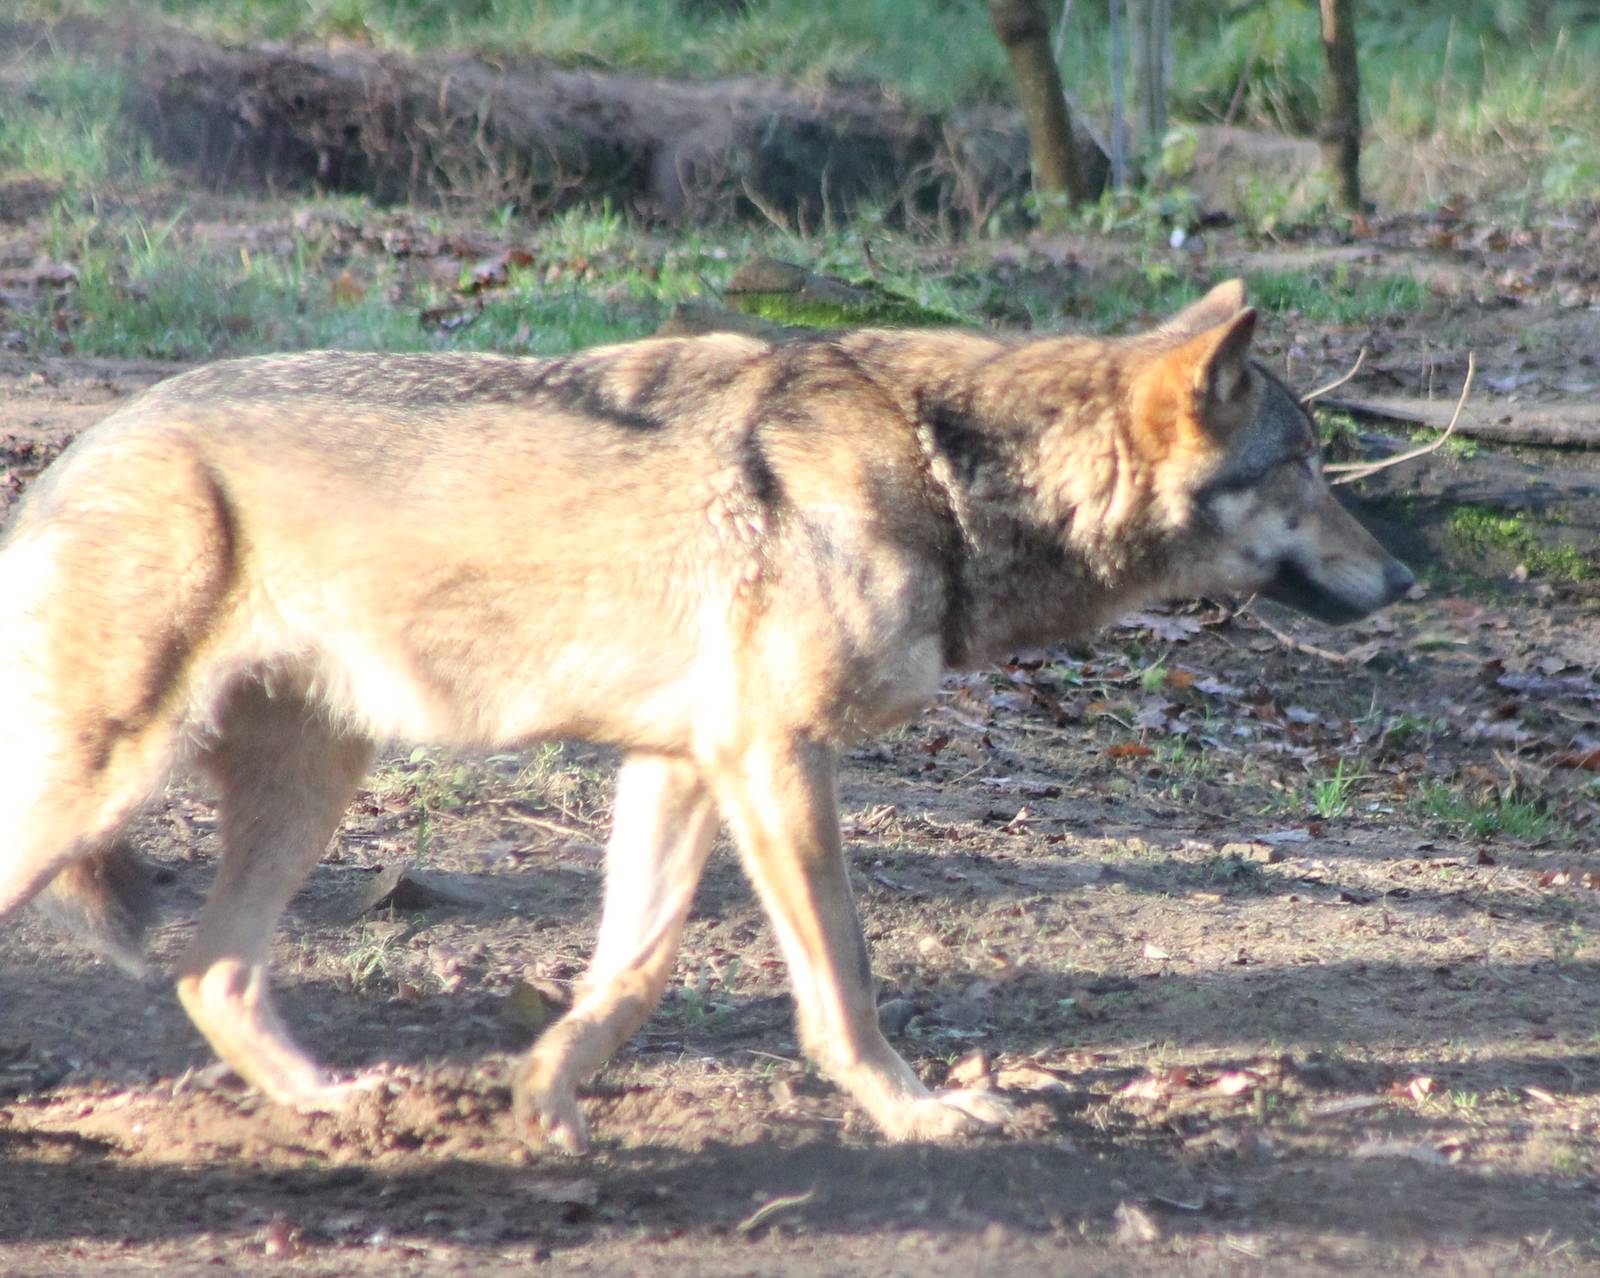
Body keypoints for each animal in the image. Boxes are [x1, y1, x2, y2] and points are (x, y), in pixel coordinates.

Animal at [0, 279, 1411, 1150]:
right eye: (1301, 467)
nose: (1407, 581)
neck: (937, 474)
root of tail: (81, 449)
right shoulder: (775, 758)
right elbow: (843, 982)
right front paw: (915, 1116)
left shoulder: (680, 764)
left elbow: (632, 972)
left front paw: (543, 1105)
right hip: (111, 783)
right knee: (187, 955)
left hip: (311, 782)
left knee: (215, 973)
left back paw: (344, 1110)